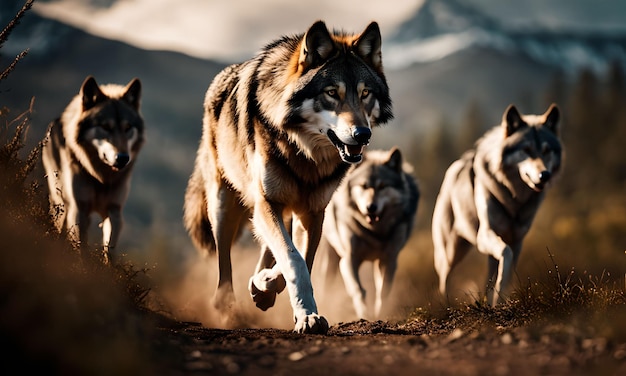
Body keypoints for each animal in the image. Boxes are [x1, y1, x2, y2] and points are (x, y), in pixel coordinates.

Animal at [42, 75, 144, 264]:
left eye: (127, 128)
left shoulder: (114, 211)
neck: (102, 177)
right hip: (61, 202)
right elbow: (82, 248)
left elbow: (109, 250)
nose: (123, 158)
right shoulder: (80, 208)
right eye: (105, 127)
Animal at [183, 20, 392, 334]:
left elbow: (297, 258)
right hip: (223, 206)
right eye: (332, 93)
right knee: (224, 265)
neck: (305, 154)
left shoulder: (313, 212)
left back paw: (260, 285)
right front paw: (304, 314)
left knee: (267, 249)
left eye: (365, 93)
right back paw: (228, 308)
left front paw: (269, 288)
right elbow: (294, 259)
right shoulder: (268, 202)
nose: (362, 134)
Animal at [320, 147, 416, 320]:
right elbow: (359, 290)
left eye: (383, 186)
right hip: (331, 257)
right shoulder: (349, 259)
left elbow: (382, 292)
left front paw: (380, 315)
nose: (371, 207)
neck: (374, 231)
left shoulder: (388, 260)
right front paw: (364, 314)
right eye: (363, 186)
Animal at [428, 103, 560, 306]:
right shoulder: (486, 236)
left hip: (484, 254)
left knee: (487, 278)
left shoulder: (517, 241)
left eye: (546, 151)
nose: (544, 175)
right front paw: (498, 299)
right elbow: (506, 255)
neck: (514, 199)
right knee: (444, 281)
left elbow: (508, 272)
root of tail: (456, 165)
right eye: (526, 149)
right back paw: (445, 306)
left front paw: (500, 300)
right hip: (450, 253)